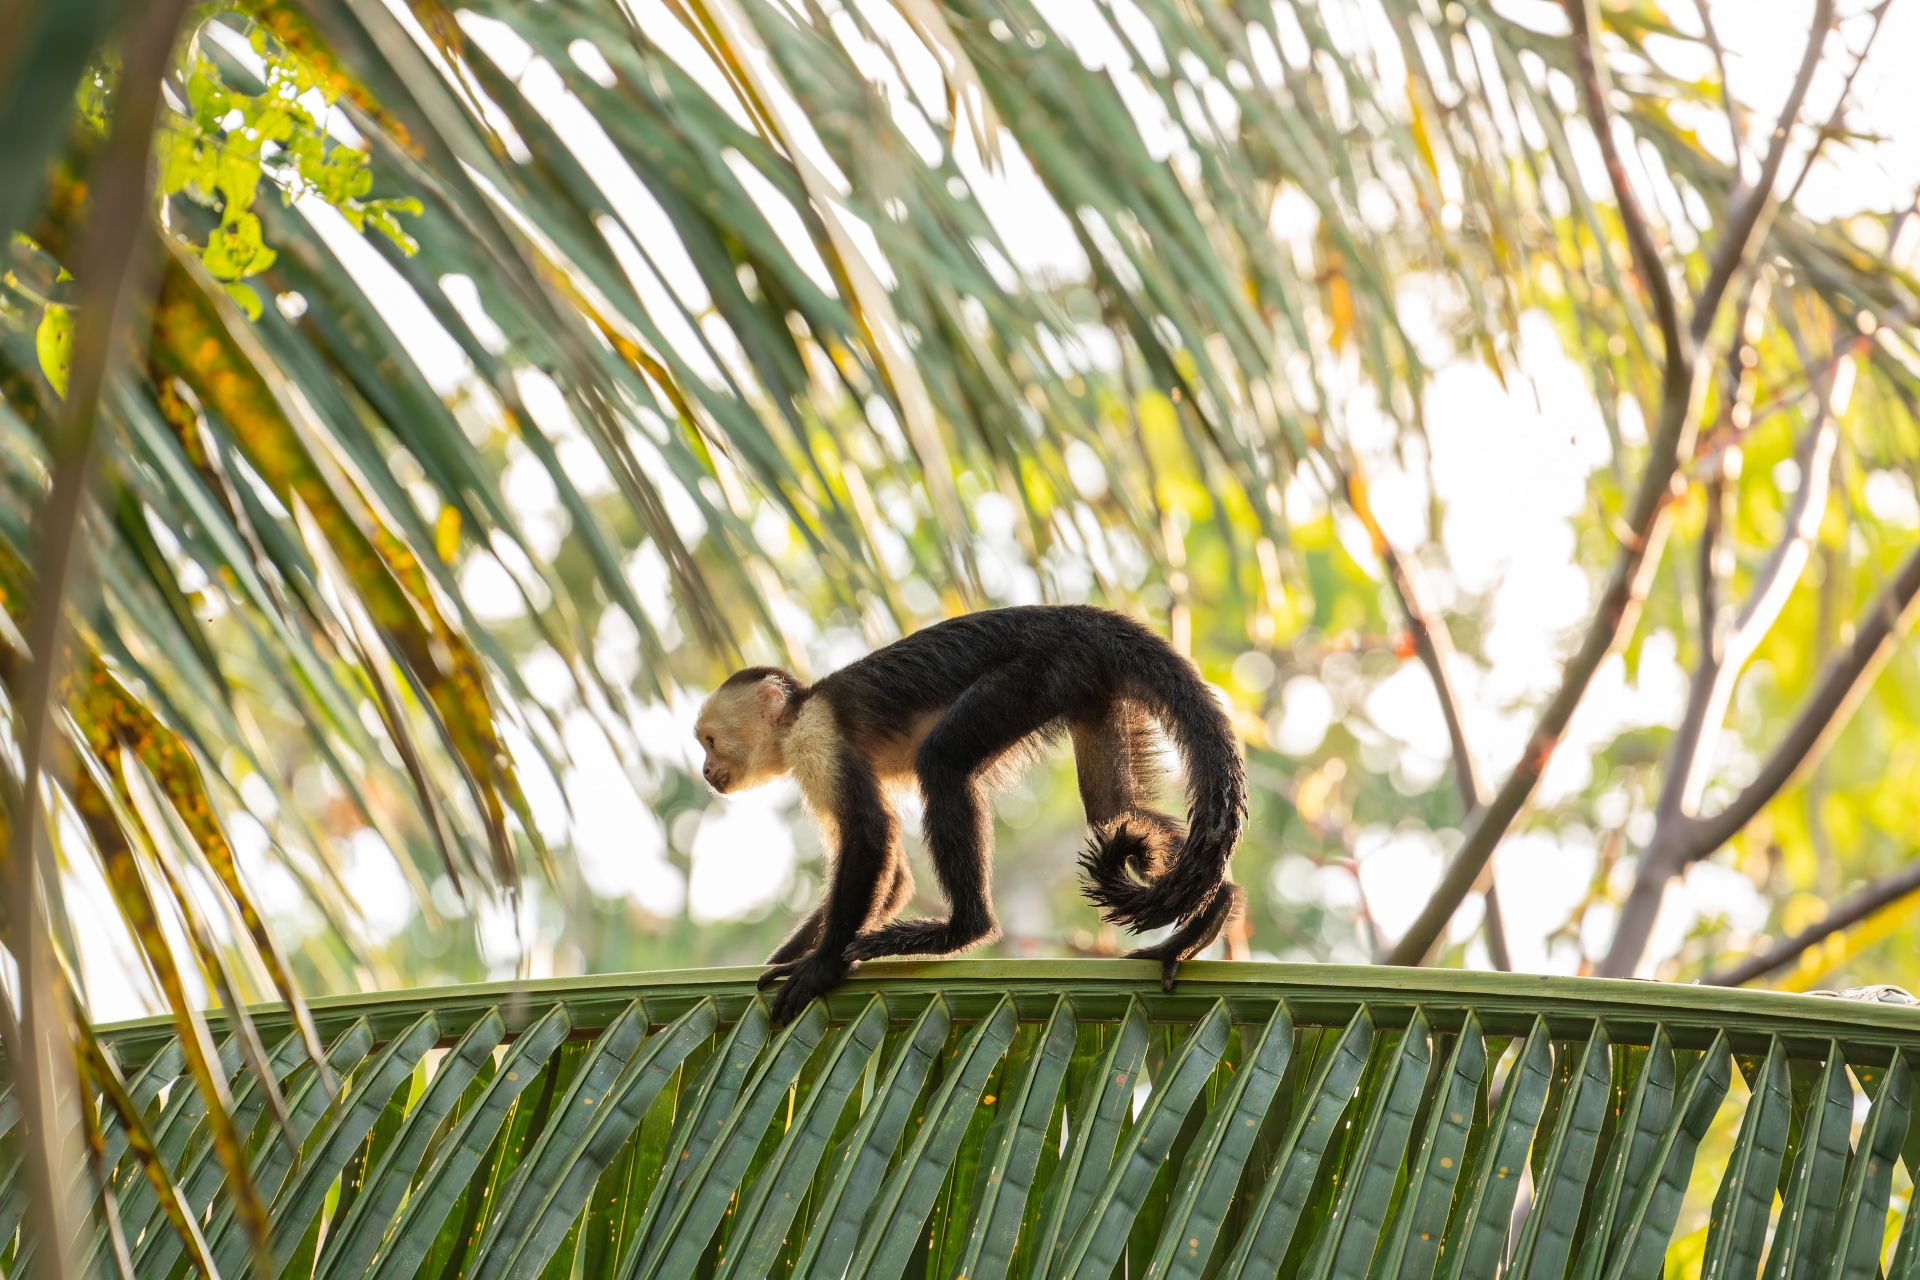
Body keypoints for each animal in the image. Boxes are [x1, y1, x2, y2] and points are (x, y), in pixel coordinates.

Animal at [693, 604, 1248, 1024]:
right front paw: (782, 962)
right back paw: (1210, 911)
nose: (704, 770)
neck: (793, 720)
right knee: (1117, 814)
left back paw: (962, 929)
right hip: (1092, 684)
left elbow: (871, 834)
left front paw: (821, 966)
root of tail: (1078, 617)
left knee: (942, 761)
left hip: (1040, 670)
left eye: (710, 740)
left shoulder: (816, 738)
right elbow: (895, 876)